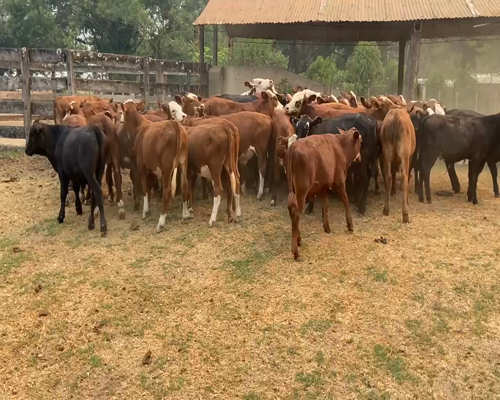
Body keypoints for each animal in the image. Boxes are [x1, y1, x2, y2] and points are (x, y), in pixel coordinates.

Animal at [122, 100, 189, 231]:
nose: (121, 120)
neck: (139, 127)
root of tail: (175, 125)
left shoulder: (141, 165)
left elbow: (144, 188)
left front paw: (145, 211)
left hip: (166, 168)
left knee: (167, 191)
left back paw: (161, 222)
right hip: (183, 163)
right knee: (184, 185)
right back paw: (185, 215)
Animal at [286, 127, 364, 260]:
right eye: (361, 141)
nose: (359, 158)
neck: (341, 146)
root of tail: (294, 145)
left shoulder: (323, 186)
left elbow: (325, 204)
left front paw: (327, 227)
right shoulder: (339, 180)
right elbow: (345, 200)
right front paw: (350, 225)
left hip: (294, 189)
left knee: (292, 210)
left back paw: (298, 239)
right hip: (302, 189)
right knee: (296, 213)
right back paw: (295, 251)